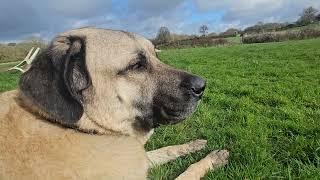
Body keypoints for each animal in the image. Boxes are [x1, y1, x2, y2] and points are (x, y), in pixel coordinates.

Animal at [0, 27, 230, 179]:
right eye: (136, 65)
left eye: (156, 55)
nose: (202, 86)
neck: (86, 128)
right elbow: (187, 173)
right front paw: (209, 161)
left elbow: (165, 150)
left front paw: (194, 146)